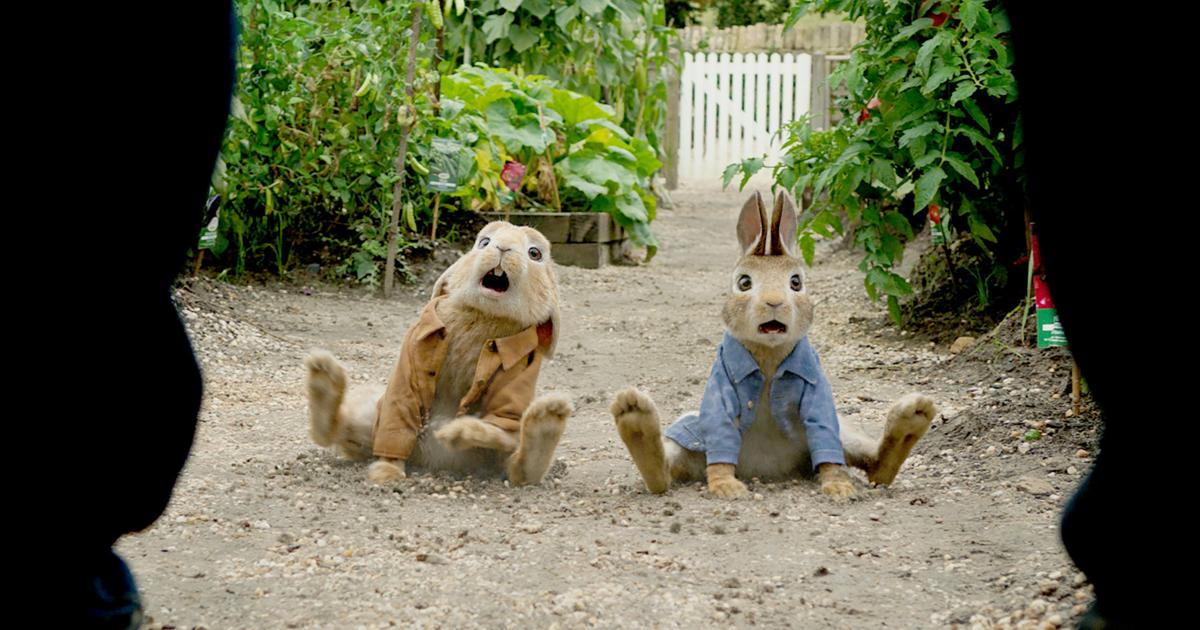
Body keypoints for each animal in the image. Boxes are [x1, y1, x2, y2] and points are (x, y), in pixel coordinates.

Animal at [305, 221, 572, 486]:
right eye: (483, 242)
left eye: (535, 253)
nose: (503, 247)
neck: (486, 315)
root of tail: (430, 460)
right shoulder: (408, 368)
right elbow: (399, 417)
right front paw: (387, 473)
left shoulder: (520, 370)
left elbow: (501, 415)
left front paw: (459, 432)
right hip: (373, 417)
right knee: (338, 431)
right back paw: (324, 374)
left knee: (519, 468)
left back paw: (547, 417)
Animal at [610, 191, 937, 500]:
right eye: (744, 283)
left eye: (796, 283)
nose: (774, 302)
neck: (768, 356)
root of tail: (768, 470)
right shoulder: (721, 387)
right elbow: (721, 432)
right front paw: (726, 488)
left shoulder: (818, 392)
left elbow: (825, 436)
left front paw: (839, 488)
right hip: (688, 438)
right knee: (665, 472)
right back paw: (634, 415)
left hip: (843, 433)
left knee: (875, 466)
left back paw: (914, 416)